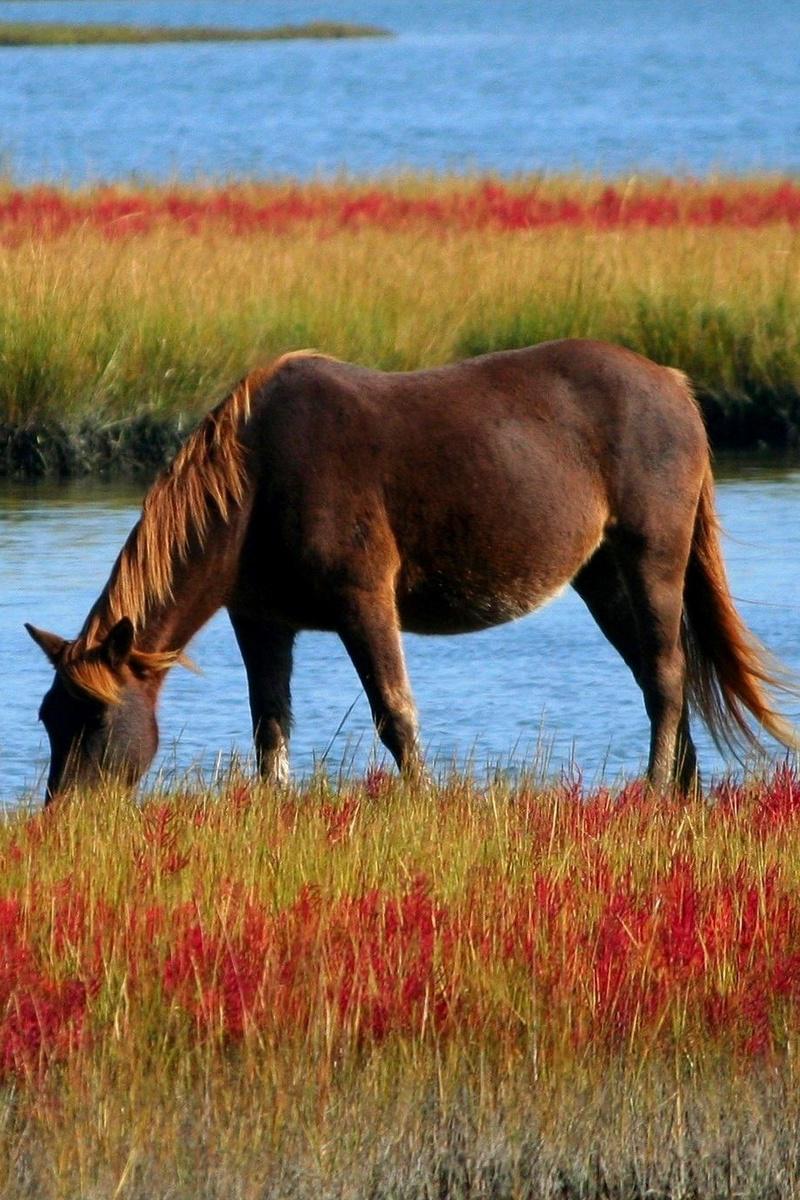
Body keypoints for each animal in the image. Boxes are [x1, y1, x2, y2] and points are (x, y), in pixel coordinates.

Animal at [26, 343, 800, 801]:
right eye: (47, 718)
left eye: (95, 718)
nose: (66, 815)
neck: (257, 481)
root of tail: (674, 385)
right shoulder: (262, 619)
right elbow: (270, 725)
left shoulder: (364, 602)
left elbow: (395, 714)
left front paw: (421, 803)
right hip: (602, 576)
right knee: (655, 677)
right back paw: (681, 790)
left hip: (651, 557)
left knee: (667, 677)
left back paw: (654, 789)